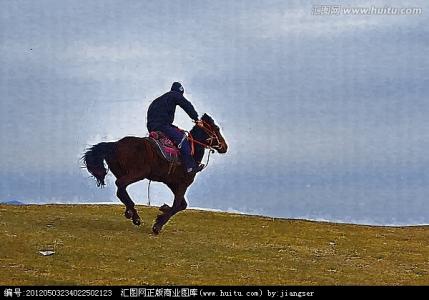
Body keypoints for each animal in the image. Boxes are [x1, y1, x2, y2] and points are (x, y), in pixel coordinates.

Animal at [81, 114, 226, 234]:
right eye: (216, 128)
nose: (225, 147)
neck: (191, 151)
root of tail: (114, 145)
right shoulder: (183, 184)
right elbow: (177, 206)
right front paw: (158, 225)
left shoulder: (172, 183)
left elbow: (182, 205)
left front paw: (163, 209)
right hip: (137, 173)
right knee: (120, 185)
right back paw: (135, 216)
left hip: (123, 173)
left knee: (121, 190)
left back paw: (130, 212)